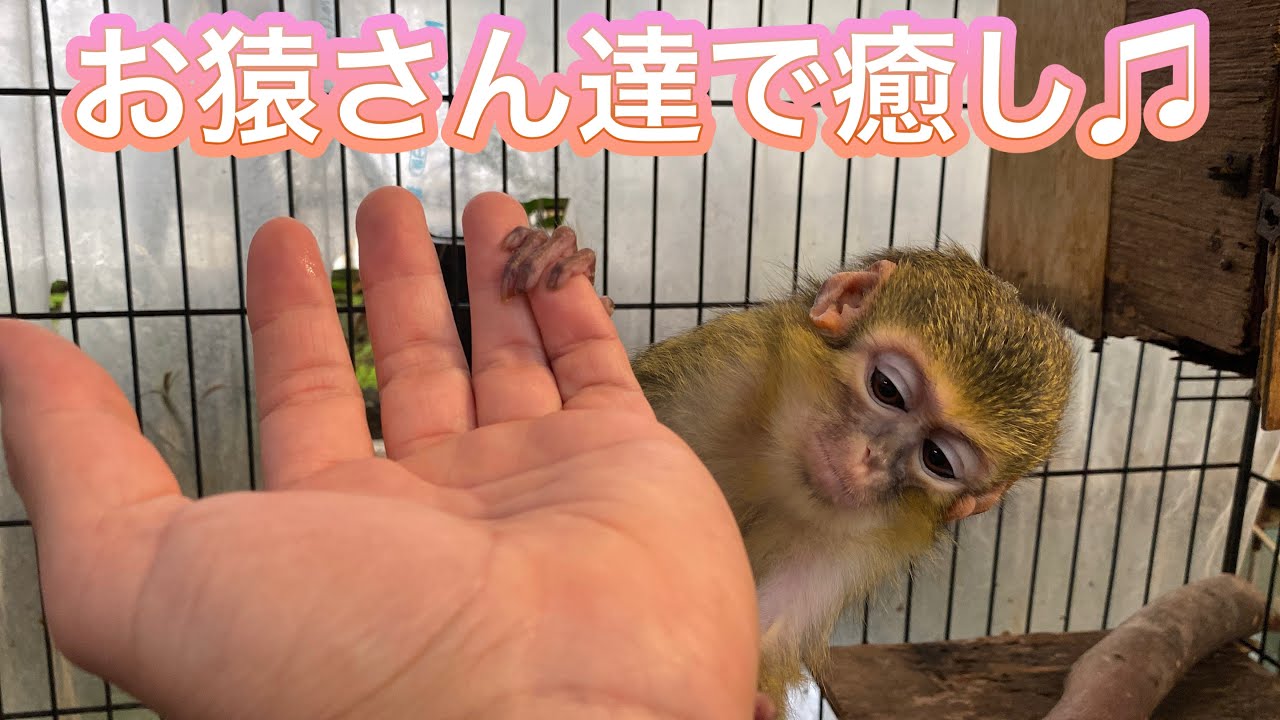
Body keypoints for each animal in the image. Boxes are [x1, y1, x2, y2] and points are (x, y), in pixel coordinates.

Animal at [498, 224, 1077, 720]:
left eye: (937, 459)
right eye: (887, 389)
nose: (869, 457)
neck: (778, 470)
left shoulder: (859, 546)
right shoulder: (724, 370)